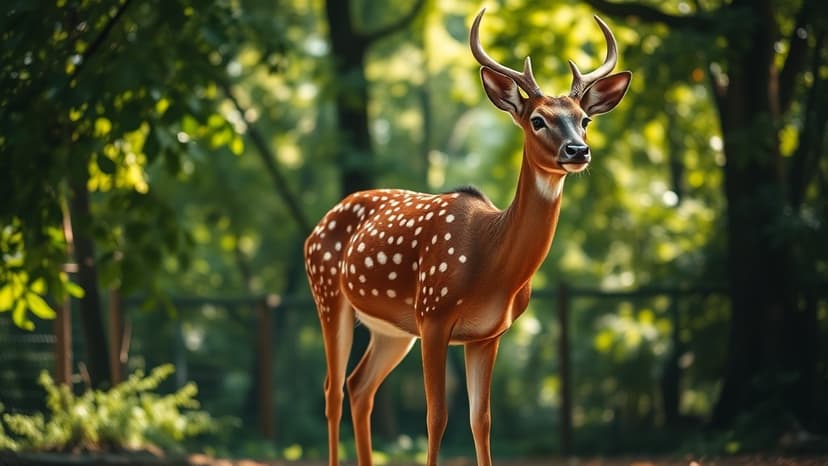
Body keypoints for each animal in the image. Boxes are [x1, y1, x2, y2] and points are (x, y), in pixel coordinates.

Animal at [304, 8, 631, 466]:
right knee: (332, 389)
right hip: (329, 295)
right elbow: (436, 416)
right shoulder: (433, 313)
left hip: (392, 329)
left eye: (584, 120)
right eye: (537, 119)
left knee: (359, 386)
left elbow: (482, 421)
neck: (491, 260)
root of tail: (317, 227)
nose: (577, 151)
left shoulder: (489, 333)